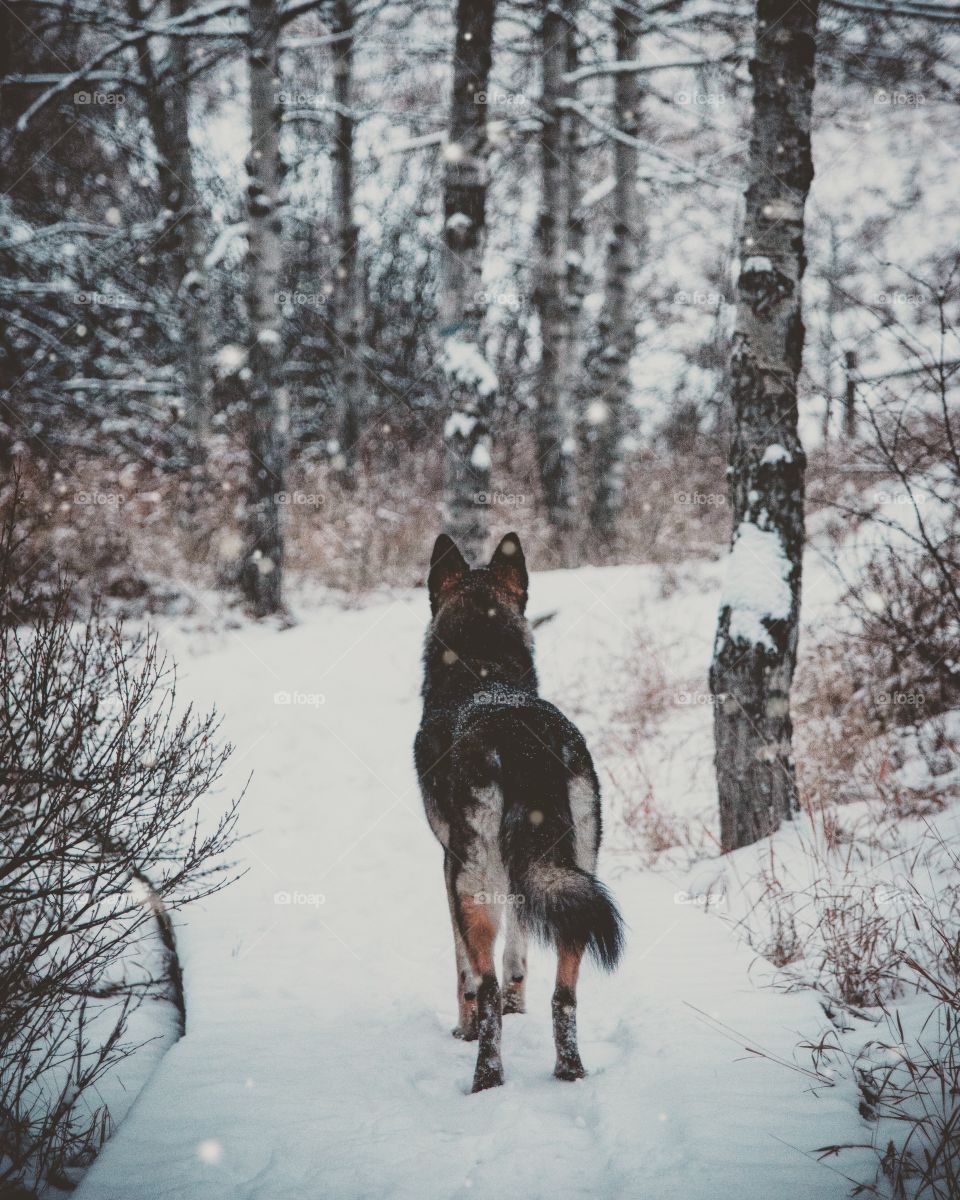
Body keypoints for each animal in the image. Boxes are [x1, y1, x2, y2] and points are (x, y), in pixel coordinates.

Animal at [412, 530, 624, 1094]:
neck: (484, 672)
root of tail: (523, 738)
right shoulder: (519, 872)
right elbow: (520, 947)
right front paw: (517, 1001)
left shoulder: (450, 869)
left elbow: (463, 973)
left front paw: (463, 1029)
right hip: (577, 874)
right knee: (565, 995)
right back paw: (570, 1070)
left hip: (474, 882)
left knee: (483, 991)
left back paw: (486, 1076)